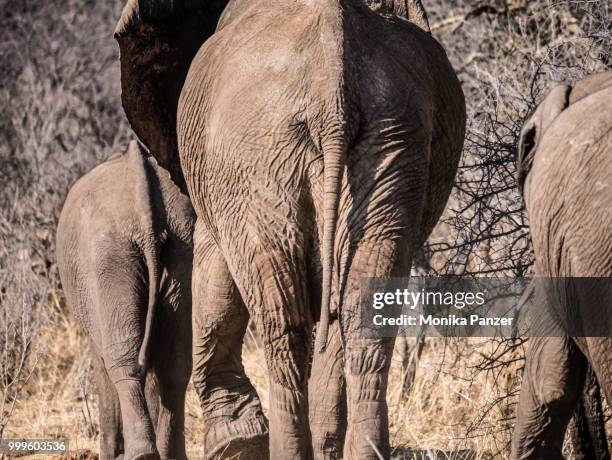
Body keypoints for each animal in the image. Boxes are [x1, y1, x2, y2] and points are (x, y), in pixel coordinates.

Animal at [56, 141, 194, 460]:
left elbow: (101, 362)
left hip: (109, 255)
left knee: (122, 358)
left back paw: (141, 454)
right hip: (181, 245)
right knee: (175, 362)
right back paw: (169, 455)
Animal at [115, 1, 464, 458]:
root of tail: (333, 89)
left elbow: (212, 282)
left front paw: (233, 445)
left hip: (257, 154)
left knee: (282, 322)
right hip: (391, 142)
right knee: (362, 314)